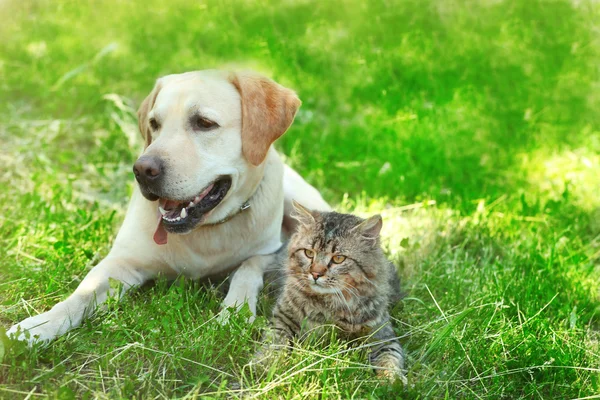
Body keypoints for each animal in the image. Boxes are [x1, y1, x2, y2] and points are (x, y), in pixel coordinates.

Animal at [7, 69, 330, 344]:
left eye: (204, 123)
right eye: (154, 124)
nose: (142, 170)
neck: (203, 232)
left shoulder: (269, 252)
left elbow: (246, 269)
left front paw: (235, 310)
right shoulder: (122, 263)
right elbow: (80, 296)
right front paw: (37, 327)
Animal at [258, 202, 408, 382]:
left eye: (338, 259)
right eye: (309, 253)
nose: (316, 274)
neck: (329, 305)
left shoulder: (382, 336)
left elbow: (391, 357)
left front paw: (393, 380)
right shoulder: (282, 318)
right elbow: (273, 343)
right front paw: (265, 367)